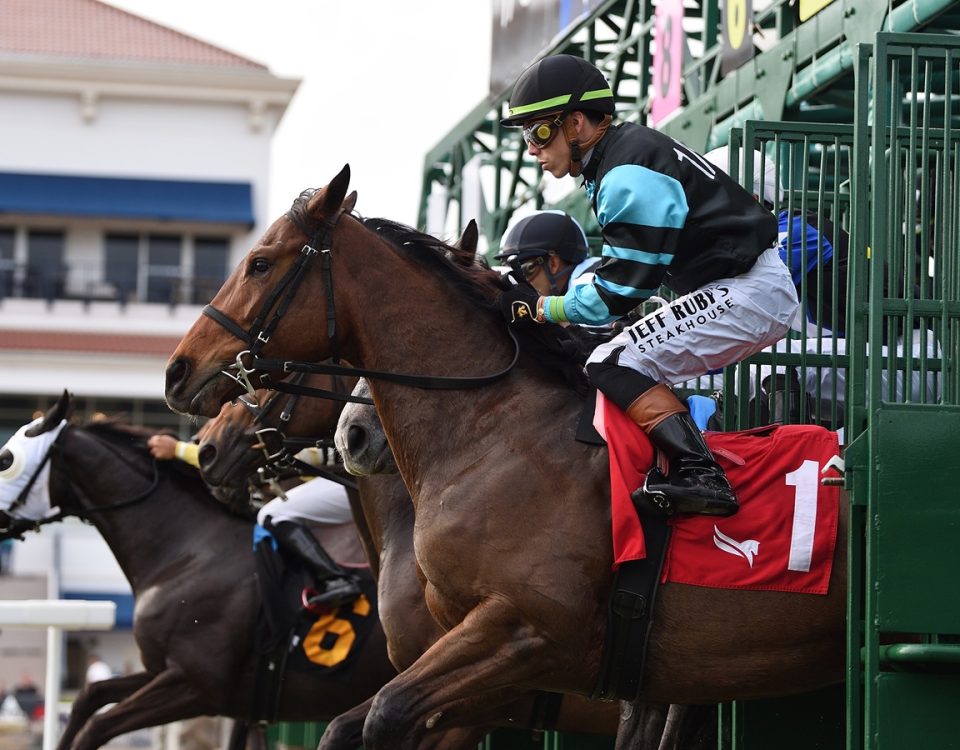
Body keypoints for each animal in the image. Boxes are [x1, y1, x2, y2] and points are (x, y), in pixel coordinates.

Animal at [0, 394, 394, 750]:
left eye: (6, 459)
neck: (186, 552)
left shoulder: (198, 684)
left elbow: (96, 727)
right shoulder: (162, 670)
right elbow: (90, 696)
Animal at [165, 167, 848, 748]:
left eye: (259, 264)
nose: (179, 375)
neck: (491, 434)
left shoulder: (525, 637)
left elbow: (387, 715)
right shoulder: (479, 667)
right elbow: (351, 726)